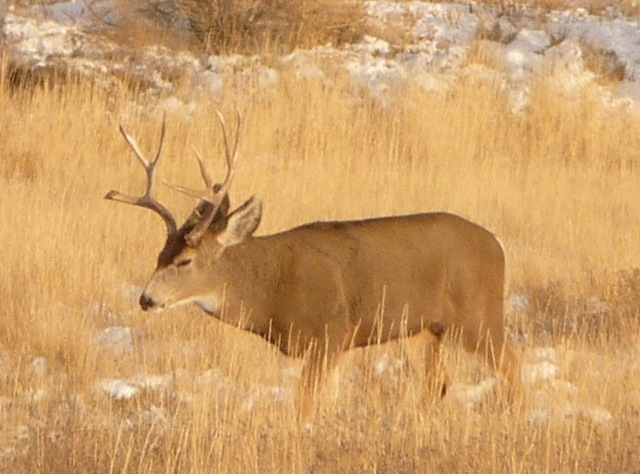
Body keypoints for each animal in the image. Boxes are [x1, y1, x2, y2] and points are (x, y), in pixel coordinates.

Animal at [106, 113, 524, 424]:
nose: (146, 299)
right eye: (159, 256)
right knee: (438, 383)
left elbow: (303, 408)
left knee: (512, 367)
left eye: (185, 261)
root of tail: (497, 244)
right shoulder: (336, 346)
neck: (268, 289)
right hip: (424, 328)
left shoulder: (329, 333)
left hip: (477, 315)